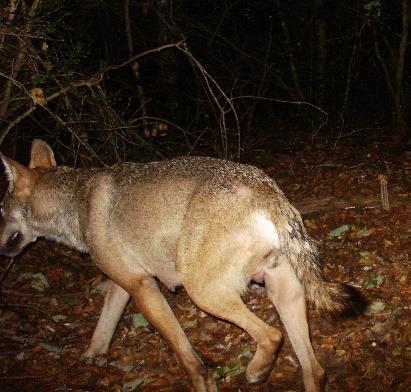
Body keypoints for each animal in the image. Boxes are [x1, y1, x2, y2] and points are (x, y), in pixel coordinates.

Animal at [0, 139, 366, 390]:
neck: (76, 202)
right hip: (282, 291)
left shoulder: (144, 288)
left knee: (271, 335)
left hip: (203, 293)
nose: (0, 246)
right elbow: (104, 324)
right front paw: (92, 355)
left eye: (0, 210)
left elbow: (187, 357)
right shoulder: (124, 284)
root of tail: (263, 187)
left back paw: (255, 372)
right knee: (314, 369)